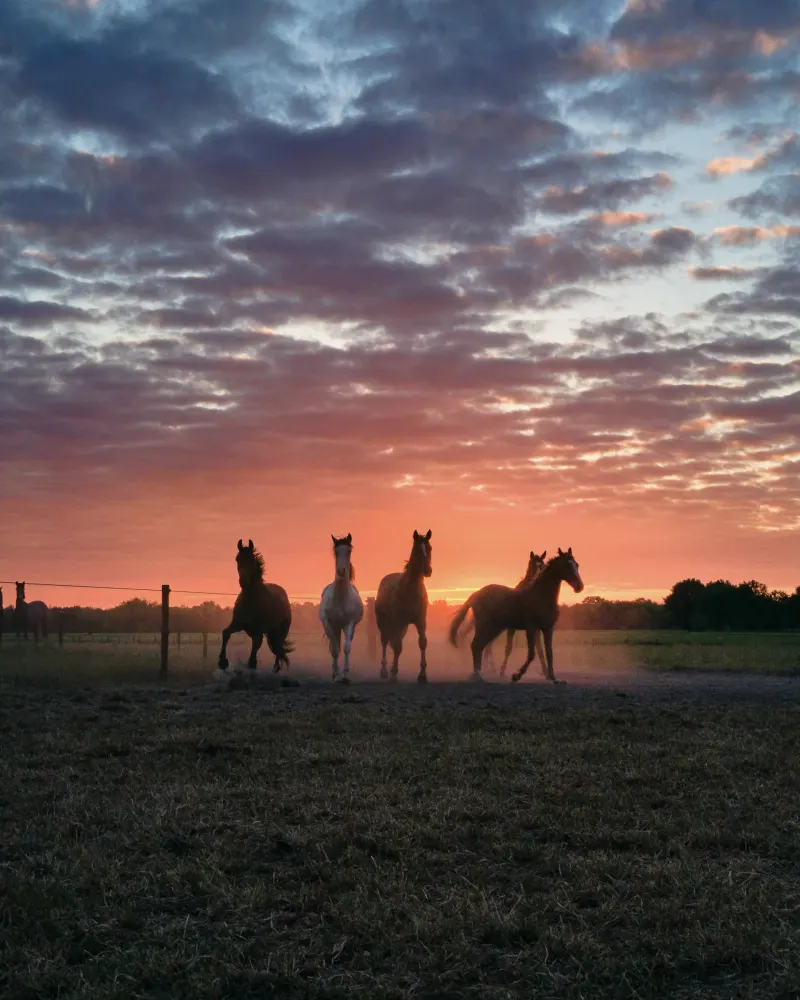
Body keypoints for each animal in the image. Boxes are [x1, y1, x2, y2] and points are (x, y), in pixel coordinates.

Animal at [218, 539, 293, 672]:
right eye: (237, 559)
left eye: (252, 559)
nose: (243, 581)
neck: (251, 599)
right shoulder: (238, 623)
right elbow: (226, 633)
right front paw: (222, 662)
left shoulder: (258, 629)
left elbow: (256, 645)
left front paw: (252, 664)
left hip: (281, 630)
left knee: (278, 647)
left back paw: (276, 668)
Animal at [319, 533, 364, 683]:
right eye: (336, 551)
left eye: (349, 551)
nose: (341, 571)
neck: (340, 598)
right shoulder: (329, 624)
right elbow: (334, 649)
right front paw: (337, 676)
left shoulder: (349, 624)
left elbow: (346, 648)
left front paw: (345, 676)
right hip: (332, 627)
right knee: (334, 645)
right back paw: (334, 672)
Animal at [375, 529, 432, 684]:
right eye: (417, 550)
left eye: (429, 548)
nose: (428, 571)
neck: (410, 590)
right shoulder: (397, 622)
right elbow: (397, 646)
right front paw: (394, 673)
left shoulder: (420, 622)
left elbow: (422, 643)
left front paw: (422, 675)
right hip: (384, 622)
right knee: (385, 642)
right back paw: (384, 671)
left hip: (402, 627)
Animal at [448, 547, 584, 684]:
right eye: (566, 565)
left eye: (576, 565)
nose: (579, 587)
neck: (541, 596)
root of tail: (476, 593)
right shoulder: (531, 628)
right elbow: (531, 654)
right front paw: (516, 675)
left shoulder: (547, 629)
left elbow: (549, 653)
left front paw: (554, 679)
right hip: (485, 626)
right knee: (476, 645)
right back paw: (478, 675)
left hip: (494, 628)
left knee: (481, 646)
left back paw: (479, 673)